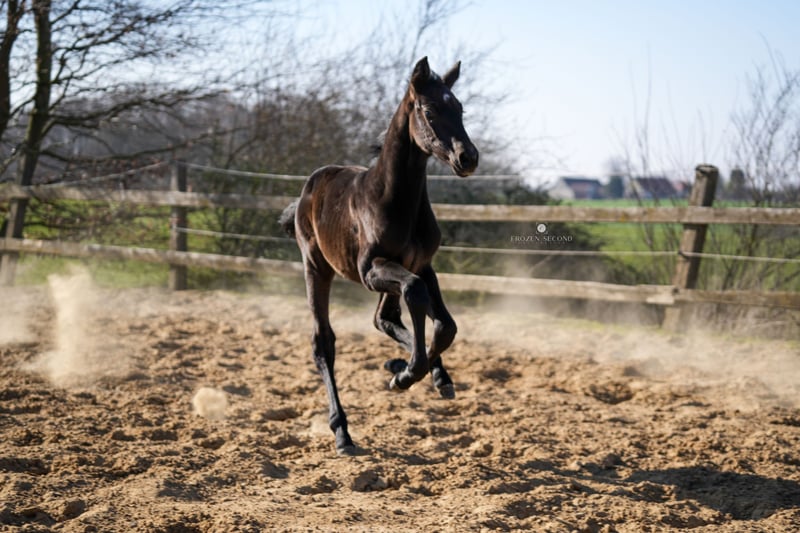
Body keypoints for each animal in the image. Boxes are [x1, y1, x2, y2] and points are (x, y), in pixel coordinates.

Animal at [279, 57, 479, 455]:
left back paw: (409, 366)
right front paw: (407, 375)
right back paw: (342, 433)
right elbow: (416, 295)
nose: (468, 157)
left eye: (460, 109)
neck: (395, 199)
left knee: (384, 318)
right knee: (323, 342)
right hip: (316, 268)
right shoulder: (371, 271)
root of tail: (309, 187)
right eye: (430, 111)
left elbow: (445, 324)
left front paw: (419, 372)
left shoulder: (423, 265)